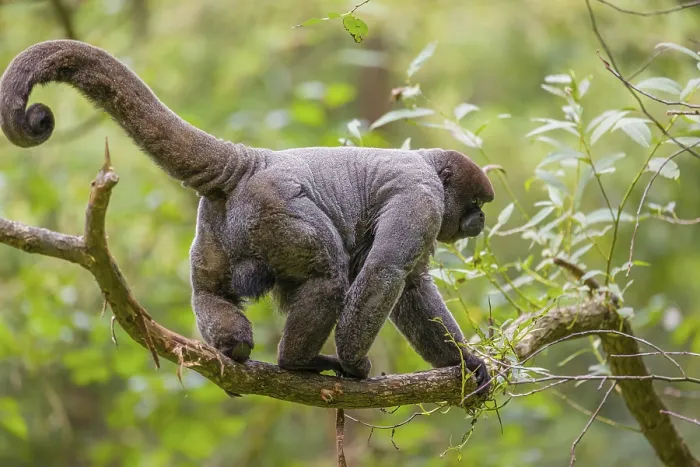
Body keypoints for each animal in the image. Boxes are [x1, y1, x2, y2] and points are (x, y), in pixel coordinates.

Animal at [0, 40, 494, 395]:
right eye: (477, 204)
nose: (481, 222)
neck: (426, 164)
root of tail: (251, 162)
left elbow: (411, 286)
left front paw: (464, 363)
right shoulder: (422, 196)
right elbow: (385, 273)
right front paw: (355, 365)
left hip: (216, 227)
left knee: (209, 291)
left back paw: (234, 351)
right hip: (275, 209)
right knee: (328, 276)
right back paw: (297, 362)